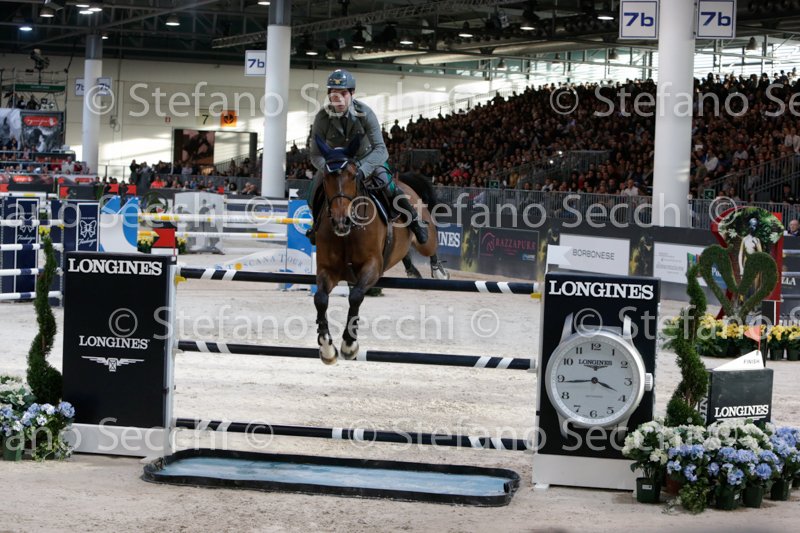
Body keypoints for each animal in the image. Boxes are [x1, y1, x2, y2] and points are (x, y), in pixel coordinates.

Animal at [313, 135, 449, 364]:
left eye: (353, 176)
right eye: (325, 177)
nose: (341, 221)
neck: (348, 232)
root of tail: (402, 181)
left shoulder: (372, 267)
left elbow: (355, 296)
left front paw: (349, 344)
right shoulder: (327, 270)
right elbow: (320, 299)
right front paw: (327, 348)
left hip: (425, 238)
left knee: (430, 245)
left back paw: (438, 270)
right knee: (405, 253)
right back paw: (412, 270)